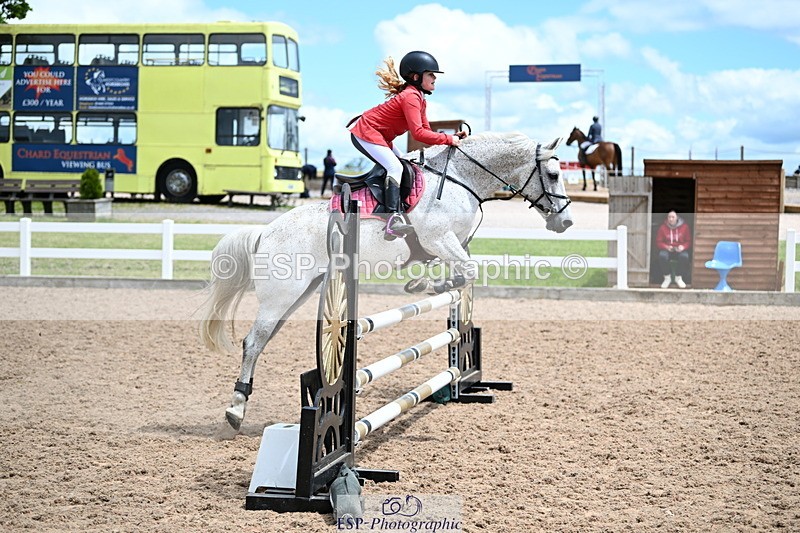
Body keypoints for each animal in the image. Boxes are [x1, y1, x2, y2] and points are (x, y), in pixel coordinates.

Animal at [198, 131, 574, 430]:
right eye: (553, 174)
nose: (566, 222)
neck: (461, 180)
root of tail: (266, 231)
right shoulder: (439, 239)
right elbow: (467, 272)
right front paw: (427, 286)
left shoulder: (451, 245)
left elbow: (462, 275)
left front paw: (432, 285)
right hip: (281, 295)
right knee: (252, 342)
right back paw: (235, 410)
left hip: (298, 294)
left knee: (260, 342)